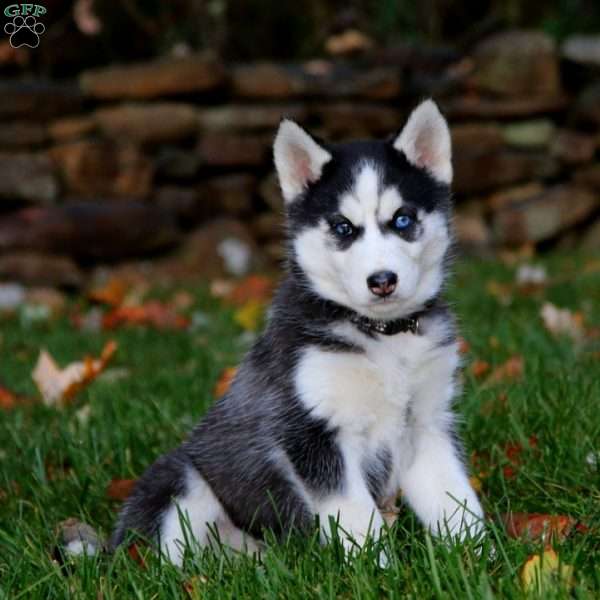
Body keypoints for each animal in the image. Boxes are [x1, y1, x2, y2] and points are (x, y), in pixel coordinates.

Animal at [111, 99, 482, 568]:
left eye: (402, 220)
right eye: (343, 227)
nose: (382, 280)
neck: (383, 337)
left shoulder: (426, 424)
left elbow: (456, 499)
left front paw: (480, 557)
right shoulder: (311, 432)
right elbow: (356, 516)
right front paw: (376, 570)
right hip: (180, 480)